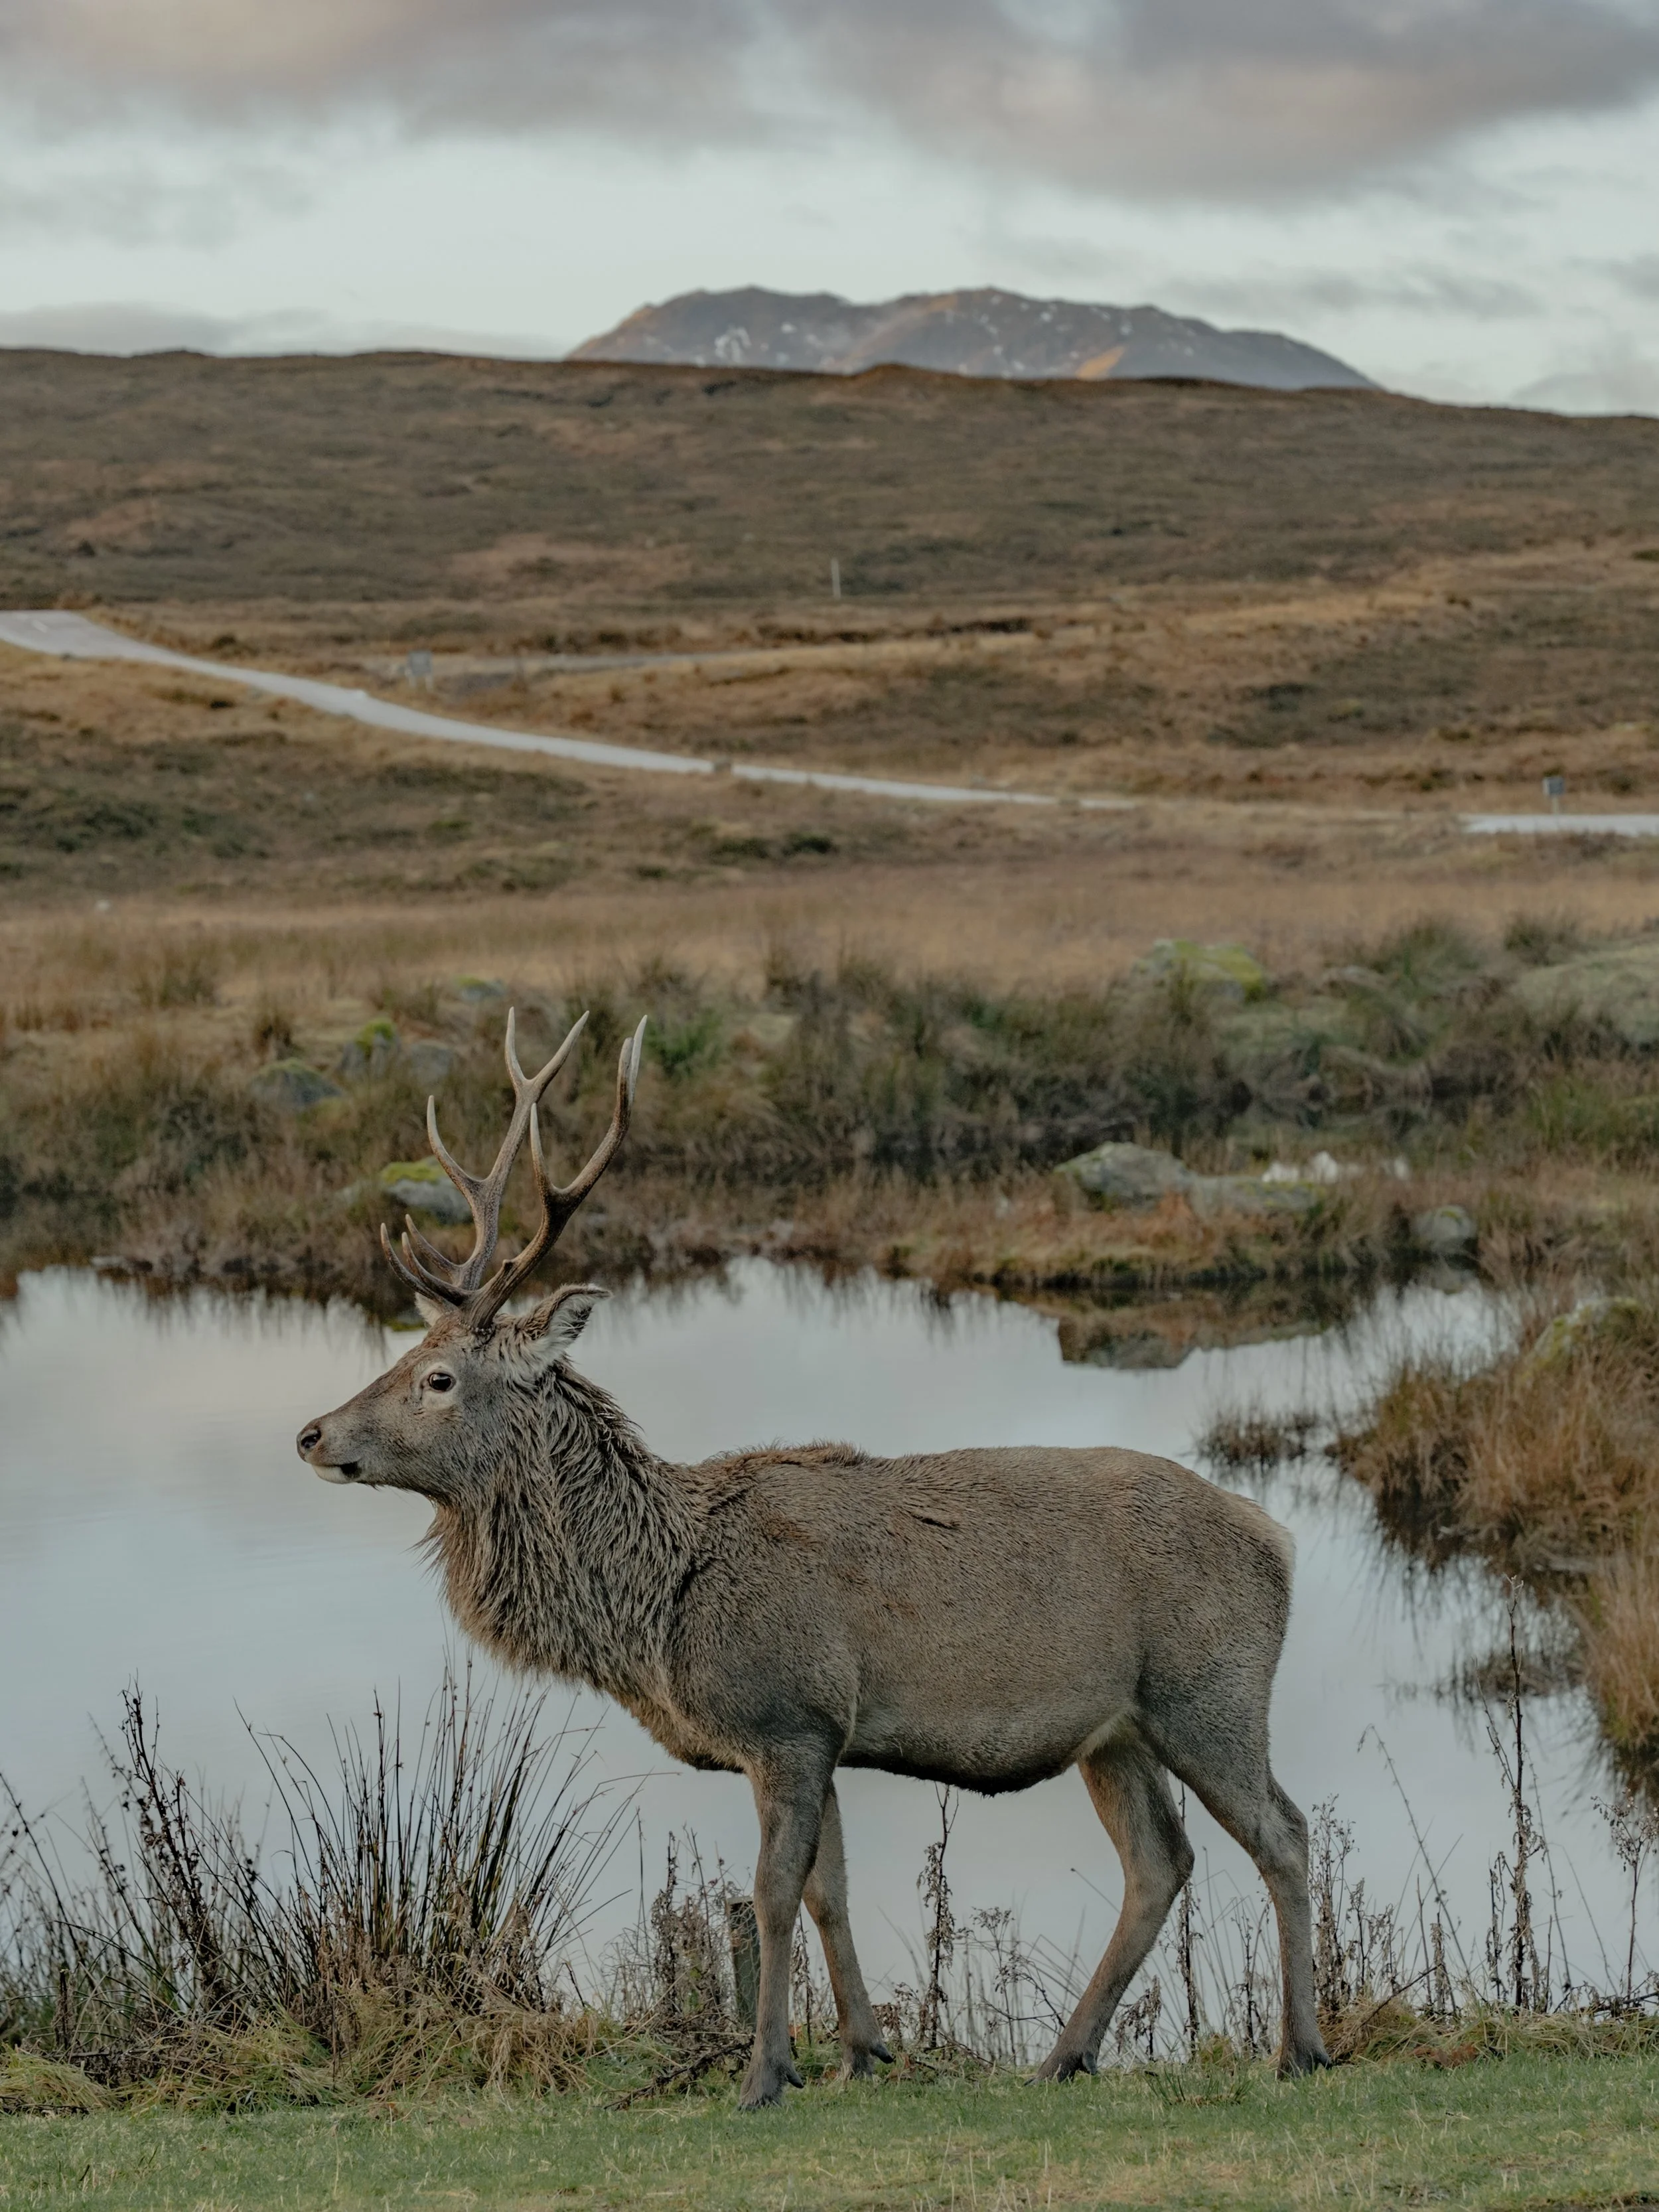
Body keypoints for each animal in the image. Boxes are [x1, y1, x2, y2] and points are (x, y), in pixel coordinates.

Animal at [296, 1010, 1331, 2105]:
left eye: (439, 1378)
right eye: (406, 1357)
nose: (313, 1433)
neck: (658, 1608)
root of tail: (1278, 1537)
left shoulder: (784, 1716)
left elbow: (771, 1894)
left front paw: (764, 2071)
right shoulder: (821, 1731)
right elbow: (831, 1892)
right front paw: (861, 2051)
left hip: (1209, 1689)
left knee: (1284, 1833)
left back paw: (1298, 2045)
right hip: (1117, 1729)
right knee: (1160, 1862)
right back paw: (1064, 2054)